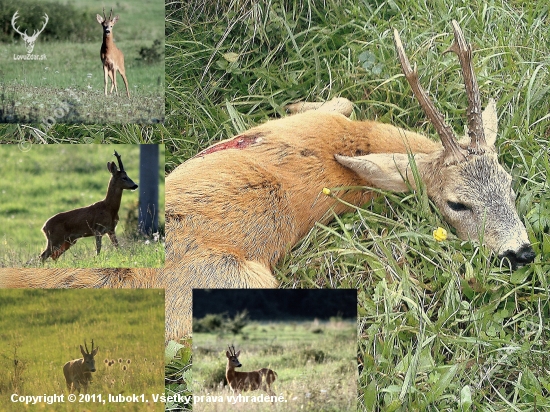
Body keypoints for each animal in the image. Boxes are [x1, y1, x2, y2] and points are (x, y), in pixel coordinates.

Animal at [0, 20, 536, 342]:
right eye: (457, 204)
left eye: (511, 185)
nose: (522, 252)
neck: (358, 144)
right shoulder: (312, 122)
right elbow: (341, 97)